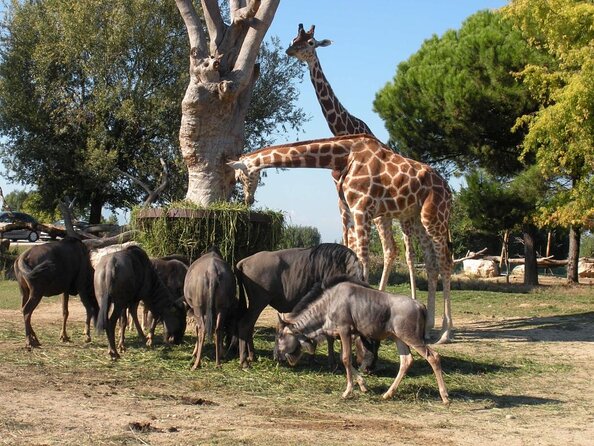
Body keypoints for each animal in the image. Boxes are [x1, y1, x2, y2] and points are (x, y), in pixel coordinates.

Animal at [229, 134, 450, 344]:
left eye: (240, 176)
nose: (248, 200)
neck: (343, 157)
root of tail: (447, 188)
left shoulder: (362, 209)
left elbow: (363, 259)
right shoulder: (350, 211)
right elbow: (350, 252)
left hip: (434, 218)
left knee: (445, 264)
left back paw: (445, 333)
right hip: (416, 218)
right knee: (431, 265)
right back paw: (428, 328)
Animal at [284, 22, 400, 290]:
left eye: (311, 43)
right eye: (294, 38)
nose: (289, 51)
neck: (343, 129)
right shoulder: (340, 197)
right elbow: (348, 243)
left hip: (387, 213)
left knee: (397, 249)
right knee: (393, 248)